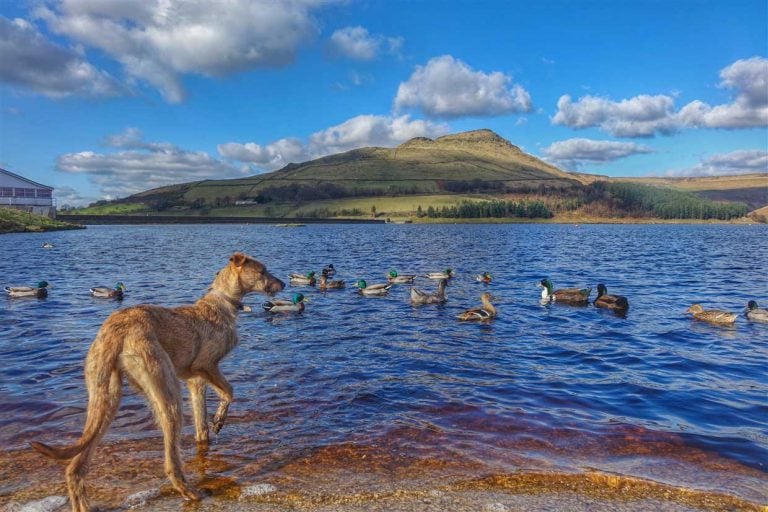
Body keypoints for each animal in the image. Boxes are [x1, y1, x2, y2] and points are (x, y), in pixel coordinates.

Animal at [30, 253, 284, 512]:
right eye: (263, 271)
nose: (283, 284)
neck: (220, 302)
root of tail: (116, 329)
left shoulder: (196, 382)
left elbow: (201, 426)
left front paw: (210, 430)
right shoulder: (206, 366)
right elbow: (230, 391)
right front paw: (220, 419)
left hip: (104, 397)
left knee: (75, 465)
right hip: (167, 392)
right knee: (171, 462)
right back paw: (191, 492)